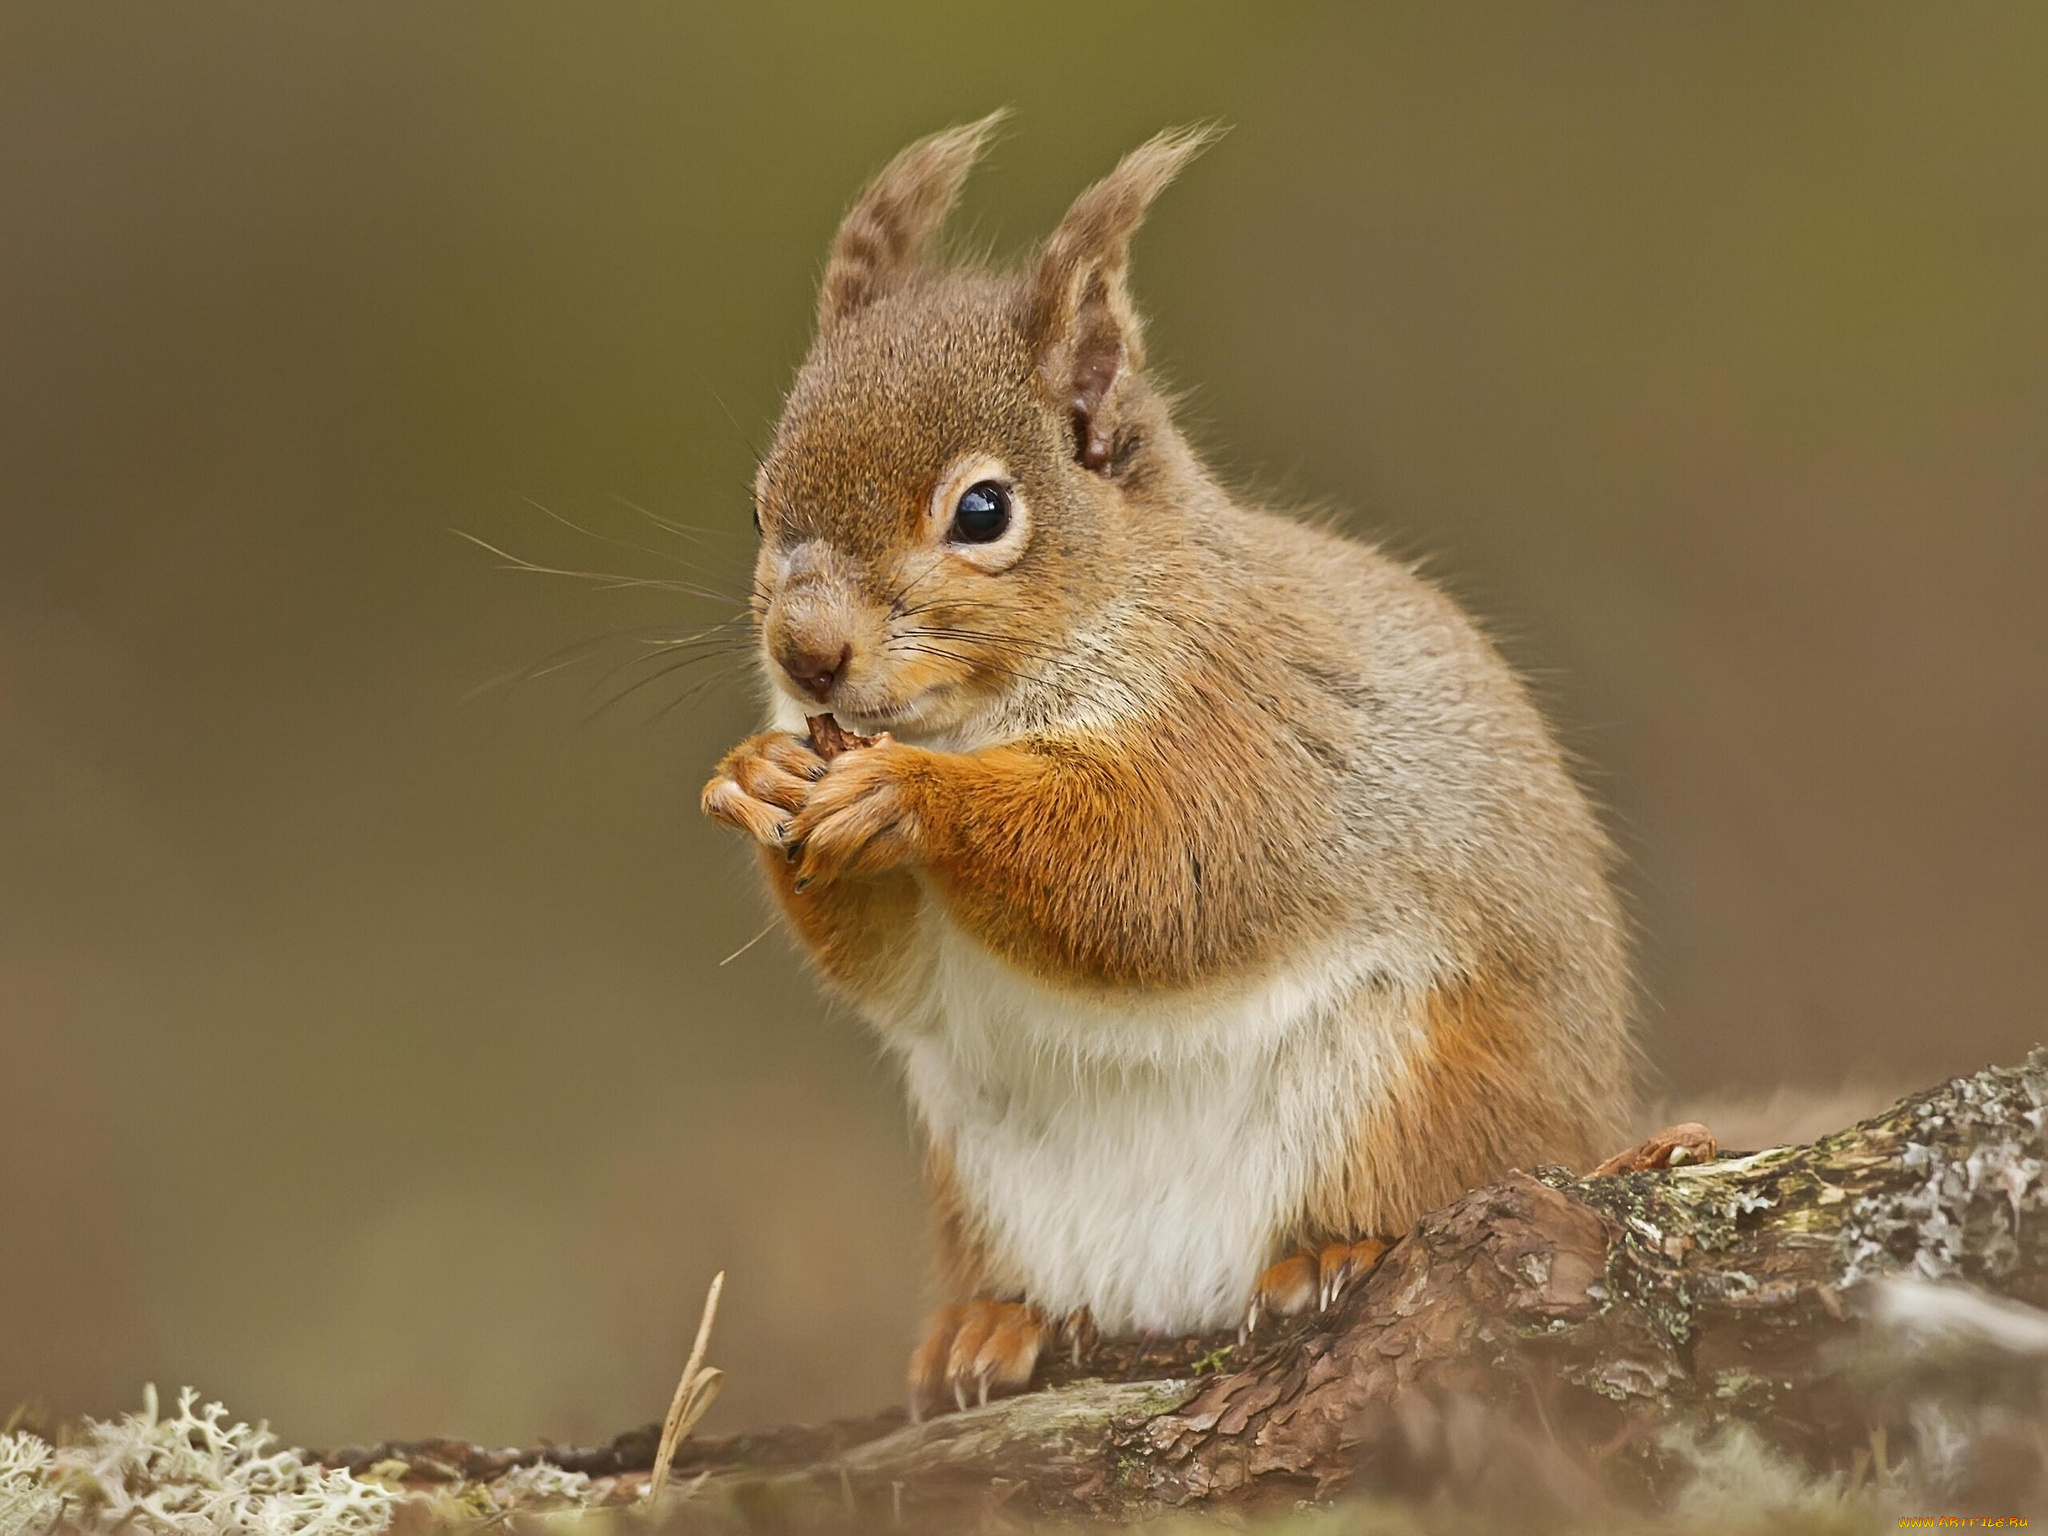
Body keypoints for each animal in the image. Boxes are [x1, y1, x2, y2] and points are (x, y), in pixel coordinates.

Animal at [708, 117, 1646, 1417]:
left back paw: (1333, 1251)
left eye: (983, 512)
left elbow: (1156, 876)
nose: (804, 656)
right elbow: (892, 971)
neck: (977, 719)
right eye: (757, 508)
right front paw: (753, 776)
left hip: (1422, 1089)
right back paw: (992, 1326)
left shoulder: (1244, 734)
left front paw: (911, 798)